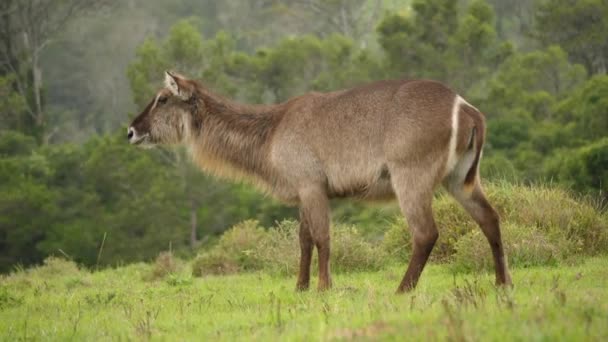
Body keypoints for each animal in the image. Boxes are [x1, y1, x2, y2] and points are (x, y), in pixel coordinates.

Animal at [128, 71, 512, 292]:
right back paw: (502, 283)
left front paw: (324, 287)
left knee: (426, 233)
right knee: (490, 218)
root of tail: (466, 108)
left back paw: (403, 289)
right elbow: (303, 239)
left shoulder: (312, 185)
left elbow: (322, 237)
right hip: (460, 178)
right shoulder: (302, 190)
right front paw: (300, 287)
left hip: (411, 176)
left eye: (162, 98)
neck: (271, 131)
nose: (131, 130)